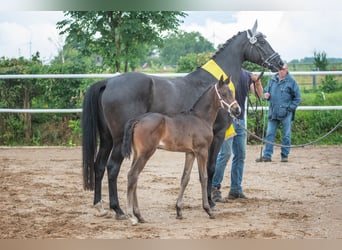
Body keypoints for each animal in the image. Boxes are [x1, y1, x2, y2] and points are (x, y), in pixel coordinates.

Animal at [123, 76, 240, 225]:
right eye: (224, 94)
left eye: (232, 92)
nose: (237, 110)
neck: (200, 118)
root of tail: (138, 119)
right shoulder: (202, 151)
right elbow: (203, 177)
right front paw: (208, 210)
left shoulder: (190, 153)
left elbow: (185, 178)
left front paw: (179, 211)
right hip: (145, 153)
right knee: (133, 175)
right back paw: (131, 216)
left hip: (137, 154)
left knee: (134, 177)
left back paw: (139, 216)